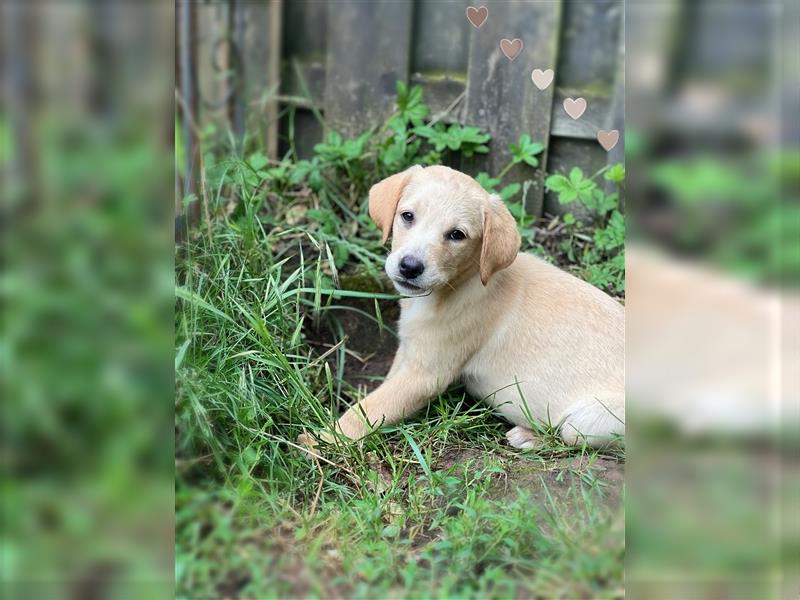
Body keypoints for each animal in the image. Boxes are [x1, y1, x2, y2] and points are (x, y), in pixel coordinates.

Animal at [318, 166, 624, 448]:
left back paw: (529, 436)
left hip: (585, 421)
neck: (460, 283)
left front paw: (321, 441)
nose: (410, 267)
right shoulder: (409, 351)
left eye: (457, 235)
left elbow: (366, 410)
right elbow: (382, 389)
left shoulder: (425, 375)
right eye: (407, 216)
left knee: (567, 437)